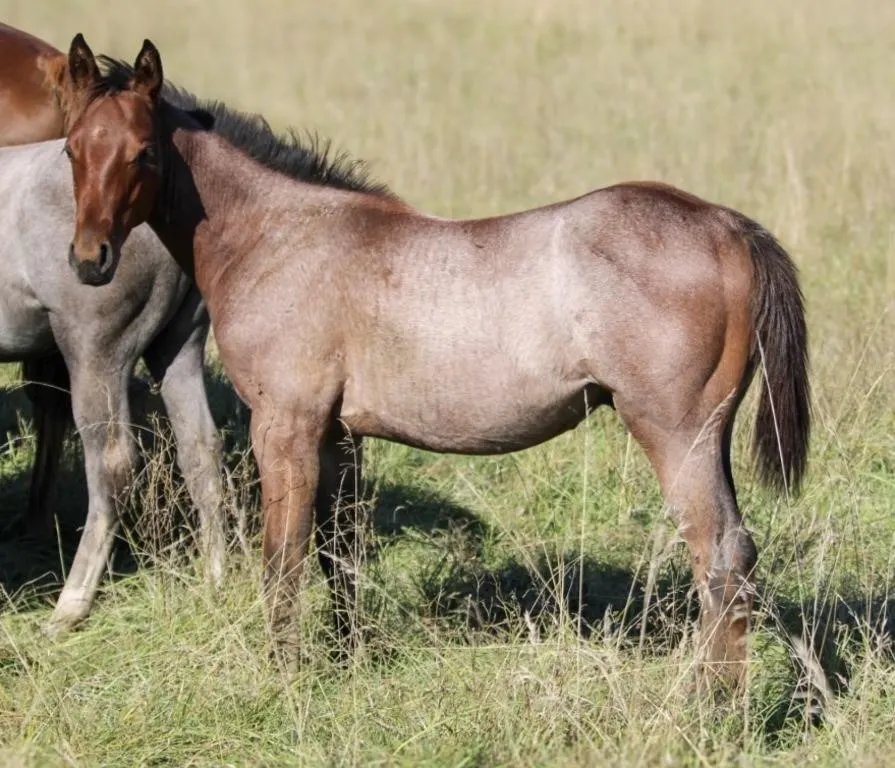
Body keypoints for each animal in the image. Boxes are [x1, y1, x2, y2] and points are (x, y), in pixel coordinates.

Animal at [0, 28, 227, 634]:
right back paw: (216, 579)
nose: (89, 257)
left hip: (96, 354)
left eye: (141, 153)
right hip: (177, 350)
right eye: (71, 152)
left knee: (112, 464)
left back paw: (71, 603)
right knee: (200, 448)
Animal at [61, 36, 810, 688]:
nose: (90, 260)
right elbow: (339, 554)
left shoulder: (285, 426)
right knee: (738, 556)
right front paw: (346, 662)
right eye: (71, 148)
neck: (277, 236)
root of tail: (726, 227)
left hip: (675, 434)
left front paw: (283, 676)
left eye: (144, 153)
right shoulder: (337, 435)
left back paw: (709, 710)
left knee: (719, 558)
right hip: (708, 437)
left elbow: (284, 559)